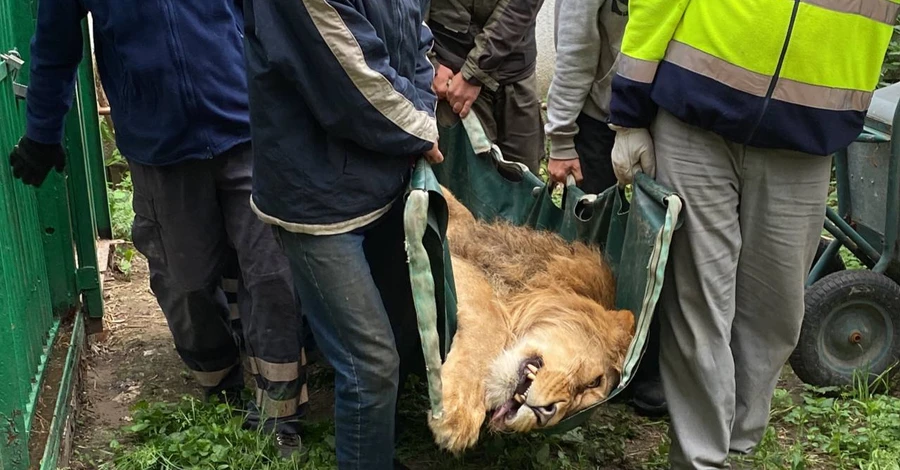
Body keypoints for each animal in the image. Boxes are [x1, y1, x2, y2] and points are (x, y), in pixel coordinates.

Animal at [428, 186, 632, 452]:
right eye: (594, 382)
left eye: (586, 395)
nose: (547, 414)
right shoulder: (456, 260)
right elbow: (492, 314)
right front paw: (459, 411)